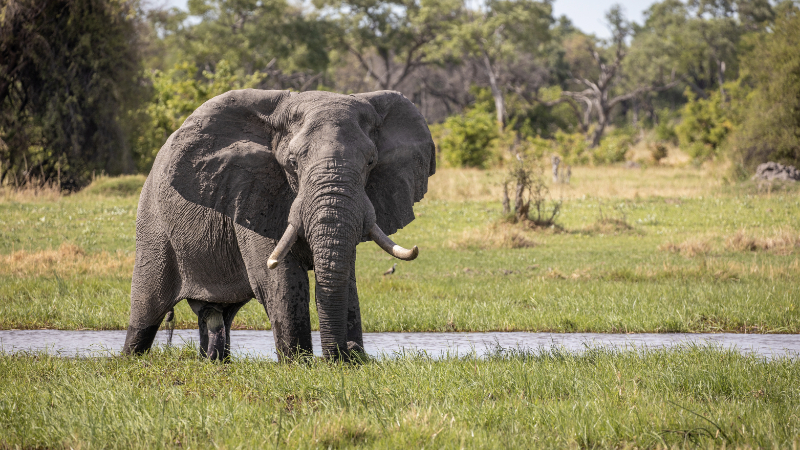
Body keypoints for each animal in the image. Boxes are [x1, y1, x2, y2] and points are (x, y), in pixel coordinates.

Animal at [121, 89, 435, 361]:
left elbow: (345, 275)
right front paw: (299, 363)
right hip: (152, 222)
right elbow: (279, 278)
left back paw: (214, 361)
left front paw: (349, 361)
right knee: (146, 310)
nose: (348, 351)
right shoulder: (252, 193)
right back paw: (129, 359)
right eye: (292, 163)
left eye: (371, 162)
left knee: (217, 316)